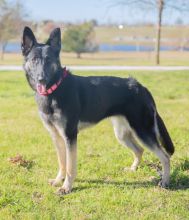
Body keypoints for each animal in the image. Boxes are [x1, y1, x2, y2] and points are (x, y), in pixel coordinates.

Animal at [21, 27, 174, 194]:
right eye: (34, 60)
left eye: (48, 60)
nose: (41, 79)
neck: (55, 89)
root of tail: (141, 87)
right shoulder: (56, 136)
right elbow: (62, 163)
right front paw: (58, 181)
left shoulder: (70, 136)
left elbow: (70, 166)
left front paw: (66, 187)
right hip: (122, 134)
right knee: (139, 150)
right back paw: (133, 169)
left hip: (143, 132)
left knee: (165, 156)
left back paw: (165, 182)